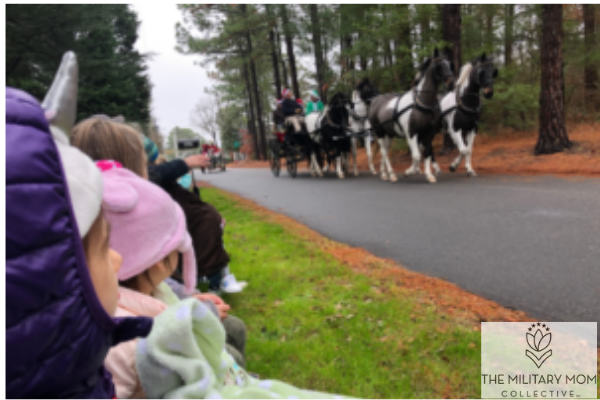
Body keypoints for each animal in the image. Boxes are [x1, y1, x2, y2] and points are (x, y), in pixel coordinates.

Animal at [366, 48, 454, 184]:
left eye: (449, 64)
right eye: (438, 65)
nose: (451, 83)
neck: (421, 103)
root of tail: (375, 100)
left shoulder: (428, 133)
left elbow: (427, 152)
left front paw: (429, 175)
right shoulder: (411, 133)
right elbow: (417, 155)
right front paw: (409, 171)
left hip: (389, 134)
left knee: (384, 151)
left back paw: (384, 173)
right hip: (380, 133)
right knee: (384, 152)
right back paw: (391, 174)